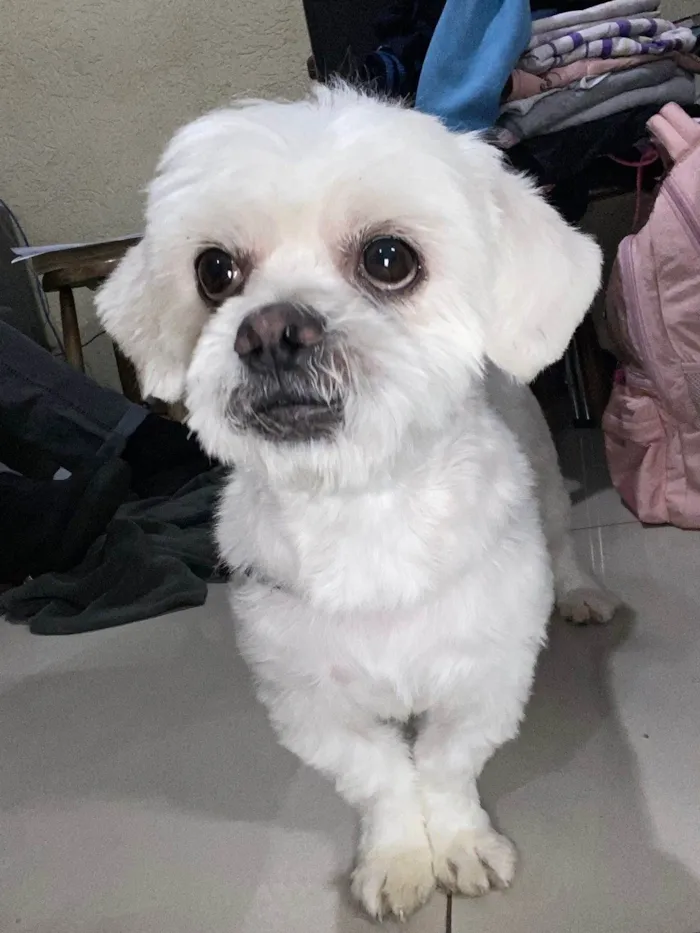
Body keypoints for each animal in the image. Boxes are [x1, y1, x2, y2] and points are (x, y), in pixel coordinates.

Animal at [97, 85, 619, 920]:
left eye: (388, 259)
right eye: (215, 271)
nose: (270, 329)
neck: (362, 506)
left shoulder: (486, 675)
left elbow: (445, 762)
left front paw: (462, 843)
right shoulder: (309, 701)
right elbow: (381, 775)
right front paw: (401, 856)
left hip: (543, 467)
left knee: (564, 536)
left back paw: (580, 591)